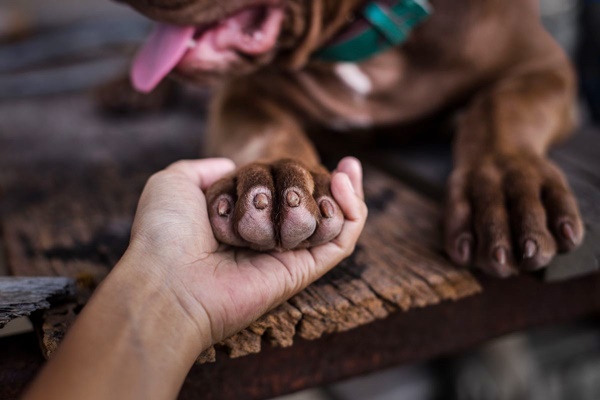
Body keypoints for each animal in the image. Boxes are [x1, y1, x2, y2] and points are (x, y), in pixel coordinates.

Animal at [115, 0, 584, 276]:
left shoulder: (544, 64)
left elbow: (500, 107)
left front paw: (506, 193)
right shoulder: (244, 91)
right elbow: (268, 126)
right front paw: (275, 179)